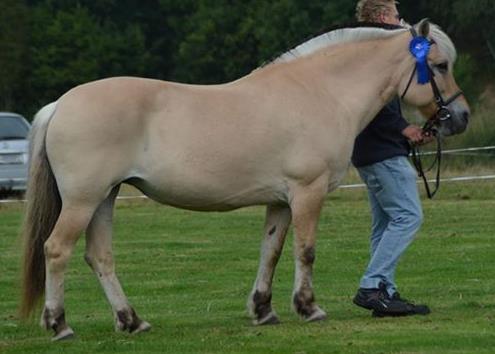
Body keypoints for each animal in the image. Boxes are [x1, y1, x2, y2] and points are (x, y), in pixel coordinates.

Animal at [19, 20, 468, 340]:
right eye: (440, 66)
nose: (460, 117)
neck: (321, 93)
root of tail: (60, 104)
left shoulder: (281, 201)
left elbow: (270, 252)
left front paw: (264, 310)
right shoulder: (307, 192)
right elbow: (305, 251)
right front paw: (309, 308)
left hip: (105, 198)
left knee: (100, 257)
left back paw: (132, 321)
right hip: (83, 200)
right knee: (57, 250)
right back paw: (60, 325)